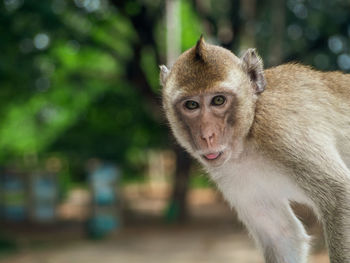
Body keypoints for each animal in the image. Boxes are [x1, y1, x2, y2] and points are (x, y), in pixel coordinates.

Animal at [160, 35, 350, 263]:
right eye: (191, 105)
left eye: (218, 100)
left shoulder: (279, 129)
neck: (246, 141)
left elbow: (339, 193)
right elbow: (282, 235)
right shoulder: (231, 174)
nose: (207, 136)